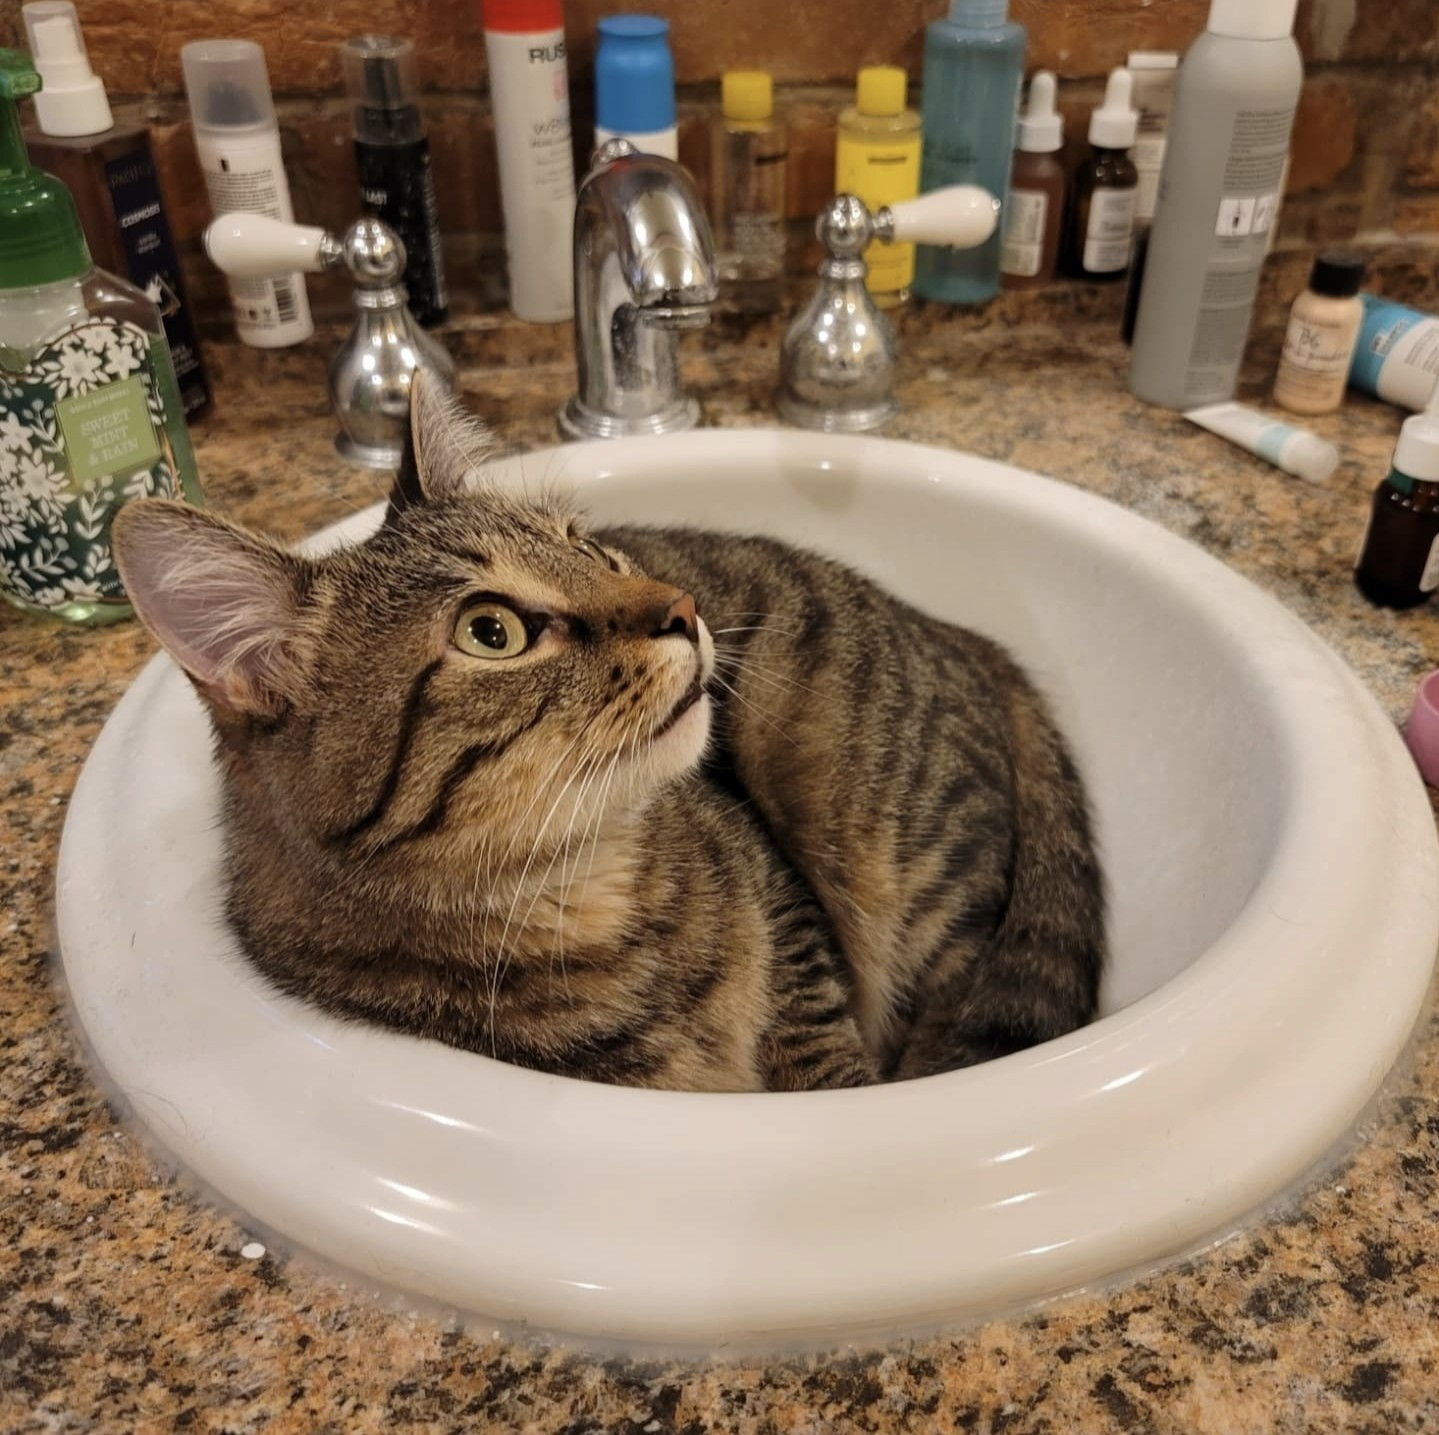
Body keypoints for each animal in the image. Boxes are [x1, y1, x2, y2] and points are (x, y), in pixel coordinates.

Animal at [112, 374, 1105, 1093]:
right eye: (491, 630)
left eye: (585, 545)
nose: (684, 608)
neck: (581, 893)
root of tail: (962, 635)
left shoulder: (791, 918)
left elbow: (817, 1048)